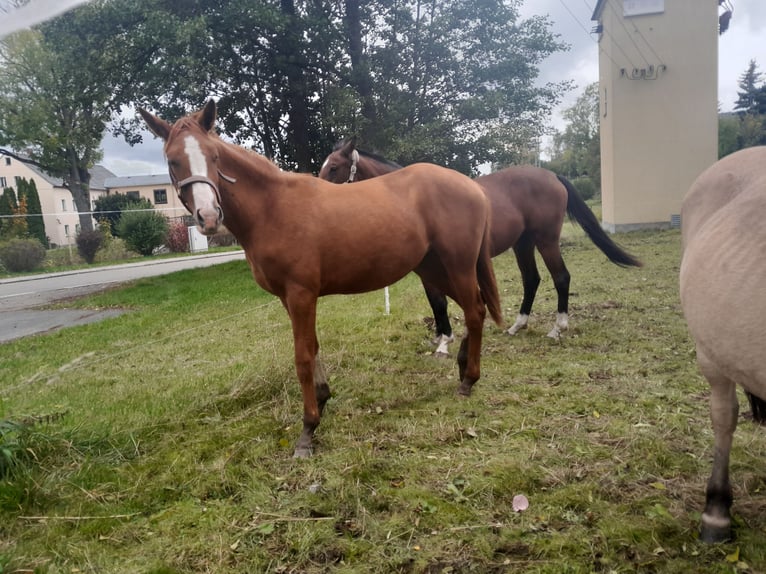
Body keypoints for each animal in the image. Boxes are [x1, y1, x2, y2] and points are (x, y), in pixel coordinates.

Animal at [141, 99, 508, 460]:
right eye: (173, 161)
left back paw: (468, 380)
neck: (272, 208)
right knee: (474, 307)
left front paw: (308, 430)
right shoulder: (288, 298)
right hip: (433, 269)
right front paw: (323, 398)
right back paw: (463, 365)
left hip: (457, 265)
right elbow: (314, 348)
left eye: (214, 157)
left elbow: (302, 357)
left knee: (475, 311)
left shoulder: (301, 294)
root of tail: (471, 185)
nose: (208, 217)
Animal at [318, 140, 640, 356]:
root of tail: (552, 175)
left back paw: (557, 329)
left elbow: (440, 302)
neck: (415, 200)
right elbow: (436, 302)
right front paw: (439, 337)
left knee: (561, 278)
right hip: (523, 243)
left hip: (546, 240)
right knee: (531, 280)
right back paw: (517, 326)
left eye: (333, 167)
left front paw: (445, 343)